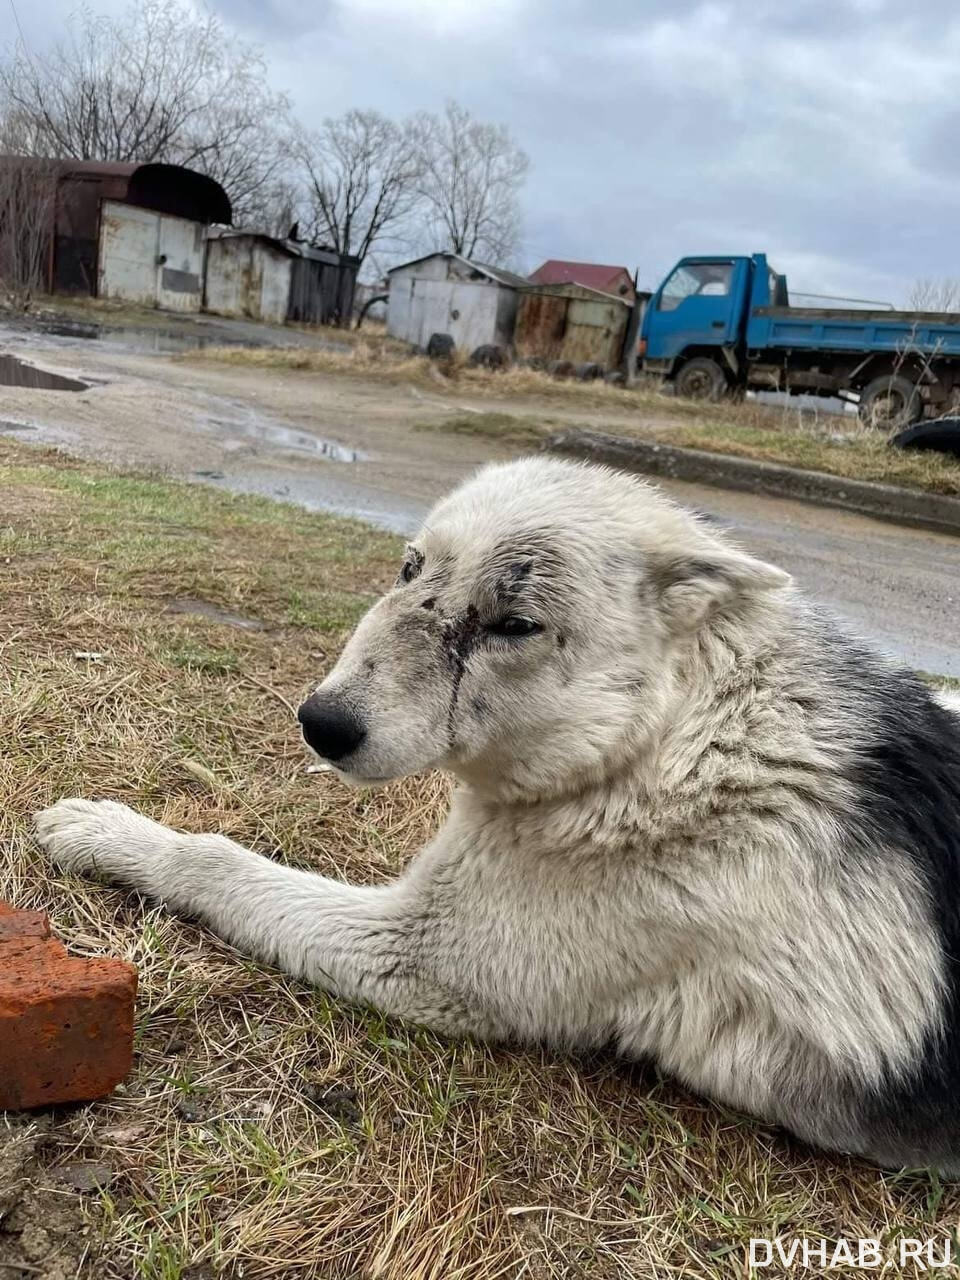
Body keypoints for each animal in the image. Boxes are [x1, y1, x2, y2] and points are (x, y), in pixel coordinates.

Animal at [37, 455, 960, 1172]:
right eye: (410, 570)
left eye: (514, 625)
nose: (319, 724)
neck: (671, 746)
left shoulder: (415, 956)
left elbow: (215, 858)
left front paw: (106, 833)